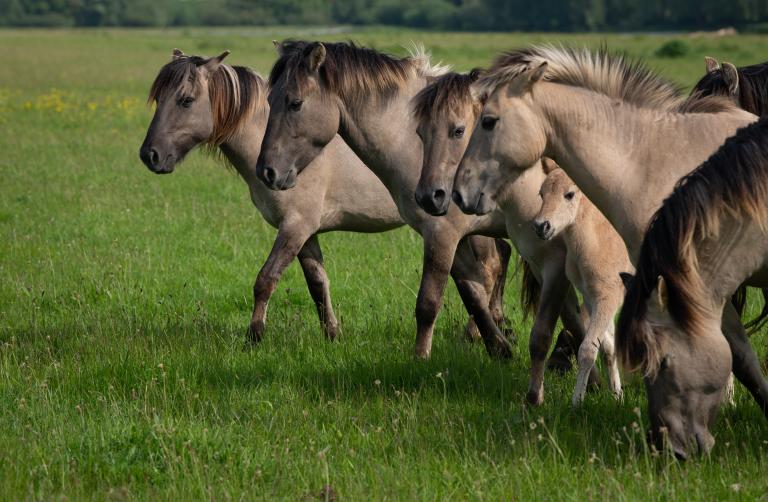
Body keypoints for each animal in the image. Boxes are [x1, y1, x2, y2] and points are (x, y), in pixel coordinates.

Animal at [138, 49, 510, 353]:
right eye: (159, 98)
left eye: (186, 100)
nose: (149, 155)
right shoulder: (306, 232)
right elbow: (318, 284)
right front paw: (332, 334)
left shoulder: (296, 226)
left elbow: (265, 280)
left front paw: (254, 337)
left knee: (489, 269)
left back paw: (479, 333)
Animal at [533, 166, 631, 405]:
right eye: (541, 194)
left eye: (569, 194)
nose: (541, 226)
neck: (597, 240)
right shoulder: (590, 296)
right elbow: (608, 347)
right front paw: (617, 396)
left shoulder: (608, 297)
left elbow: (587, 349)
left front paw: (577, 401)